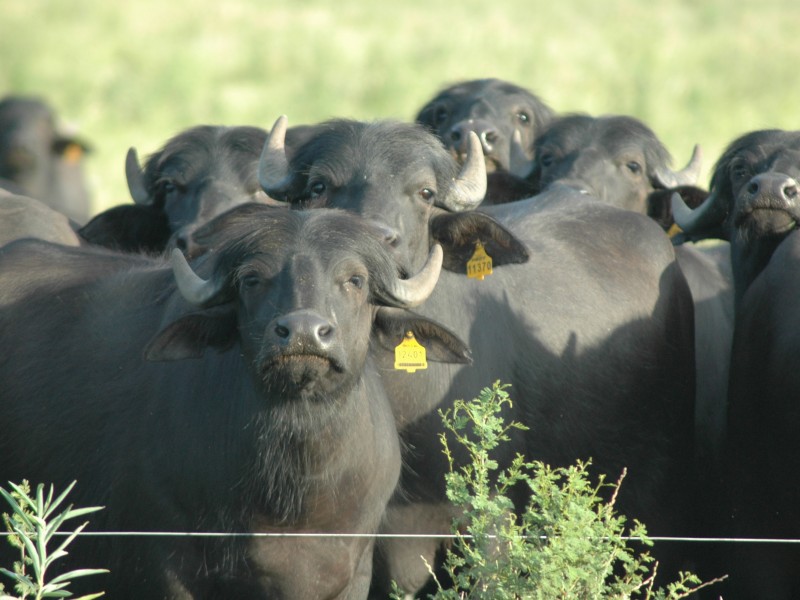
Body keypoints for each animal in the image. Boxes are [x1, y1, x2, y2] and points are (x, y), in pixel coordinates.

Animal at [0, 204, 472, 596]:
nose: (303, 332)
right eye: (252, 279)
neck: (293, 492)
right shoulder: (164, 567)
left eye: (354, 280)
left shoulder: (354, 574)